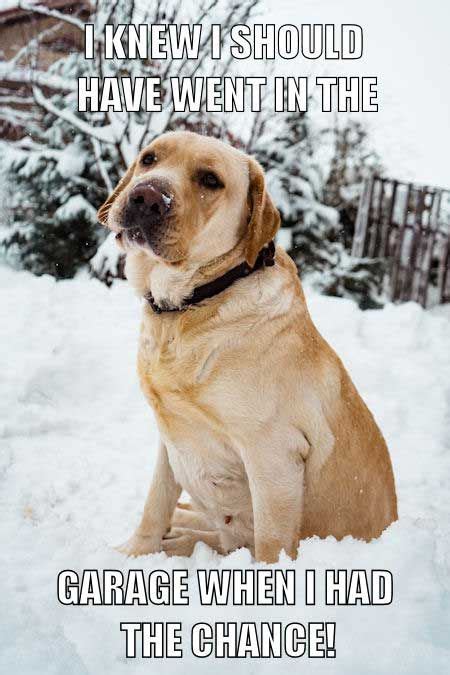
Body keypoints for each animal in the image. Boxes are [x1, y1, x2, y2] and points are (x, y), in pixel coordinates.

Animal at [96, 129, 396, 564]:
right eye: (150, 158)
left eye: (210, 180)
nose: (147, 197)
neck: (191, 304)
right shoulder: (171, 437)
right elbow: (156, 502)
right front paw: (136, 553)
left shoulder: (273, 455)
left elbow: (271, 545)